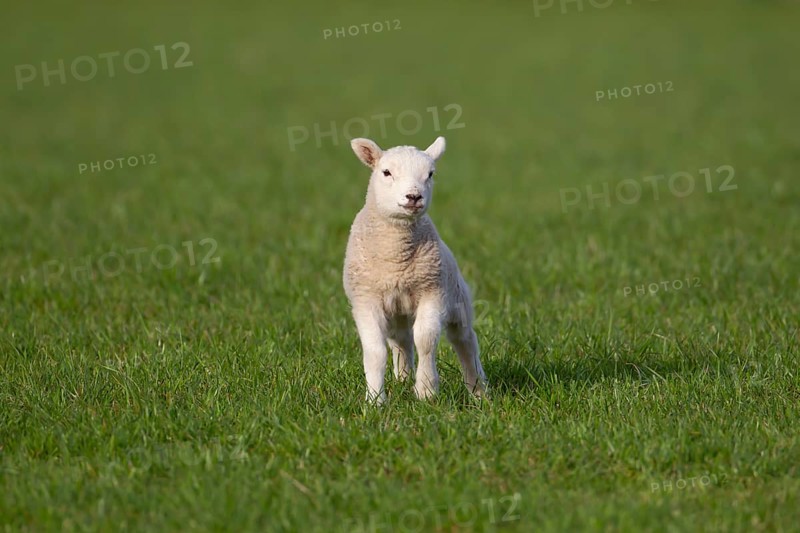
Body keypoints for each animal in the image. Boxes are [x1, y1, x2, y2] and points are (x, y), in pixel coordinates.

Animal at [343, 136, 487, 404]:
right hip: (396, 313)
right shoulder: (365, 299)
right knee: (401, 341)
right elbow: (375, 350)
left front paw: (426, 390)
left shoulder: (432, 292)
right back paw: (402, 378)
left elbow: (425, 339)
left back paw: (478, 390)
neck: (396, 261)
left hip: (457, 300)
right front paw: (375, 399)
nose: (413, 196)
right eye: (386, 172)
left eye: (430, 174)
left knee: (465, 340)